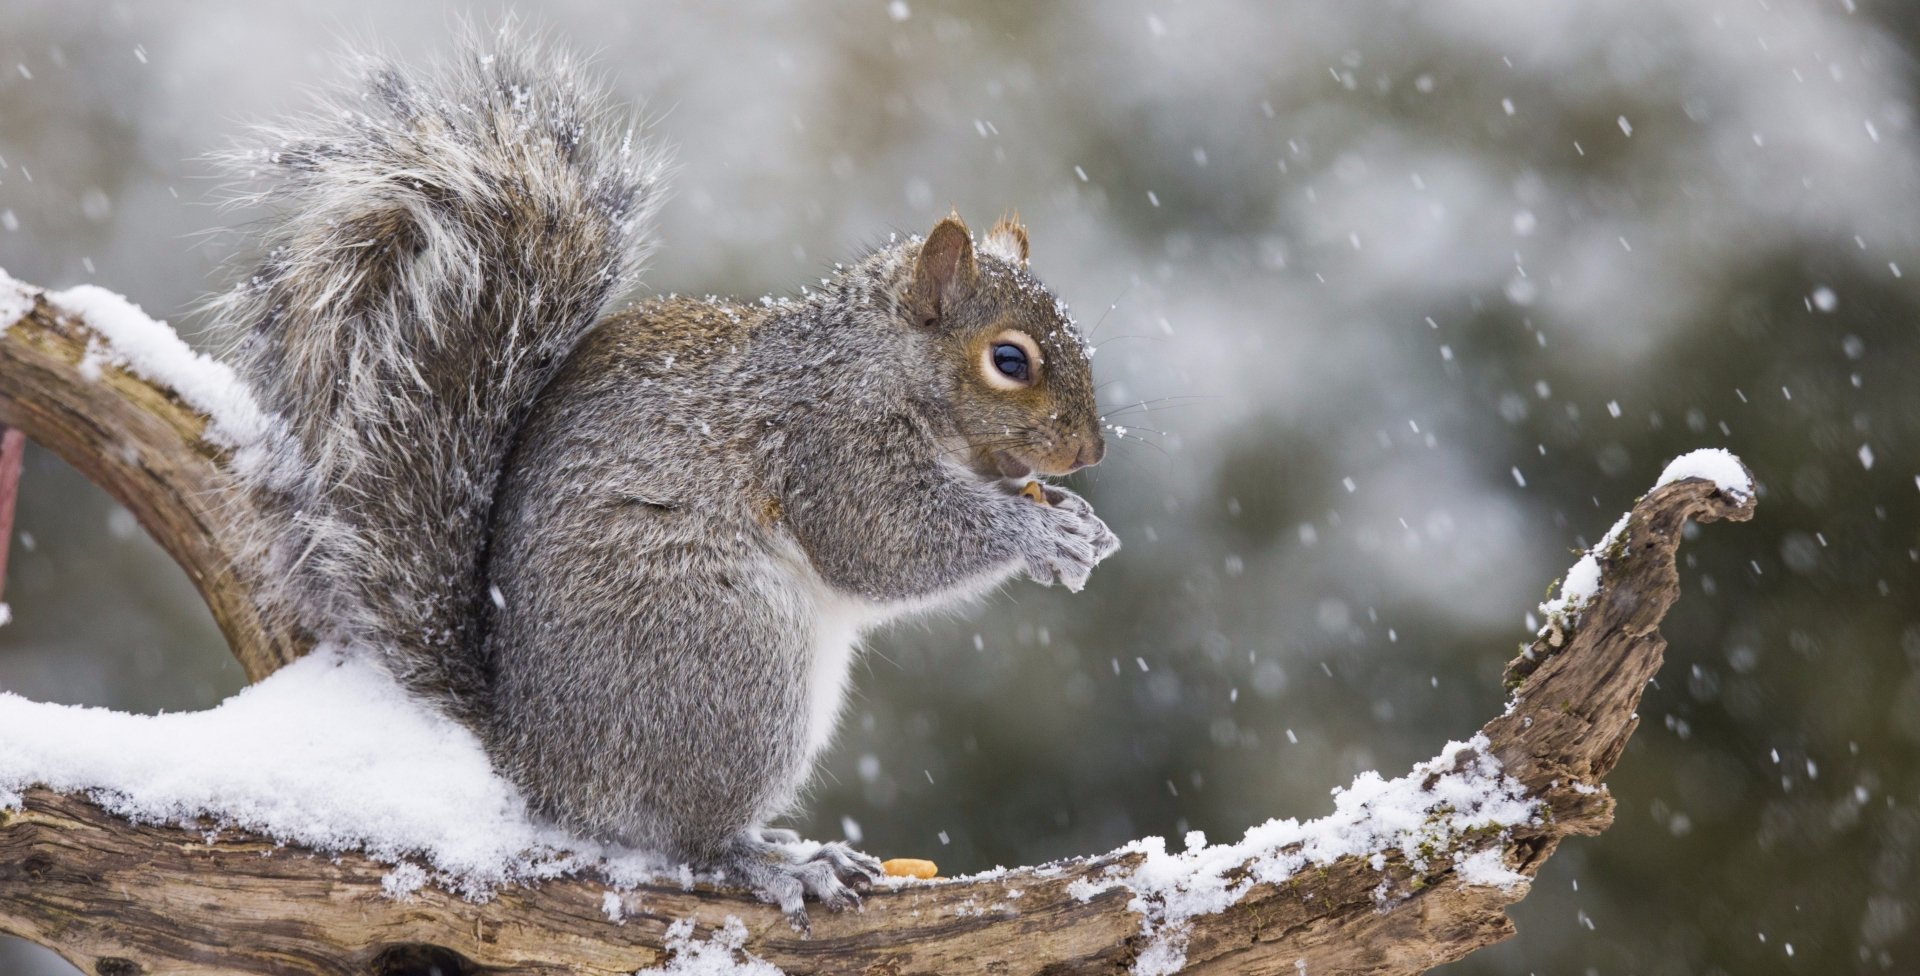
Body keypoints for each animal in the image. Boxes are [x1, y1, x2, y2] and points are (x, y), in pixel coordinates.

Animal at [216, 30, 1118, 926]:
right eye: (1010, 361)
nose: (1091, 454)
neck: (878, 362)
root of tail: (535, 759)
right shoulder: (829, 445)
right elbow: (884, 544)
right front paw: (1040, 531)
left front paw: (1079, 520)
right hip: (728, 662)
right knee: (688, 836)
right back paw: (777, 863)